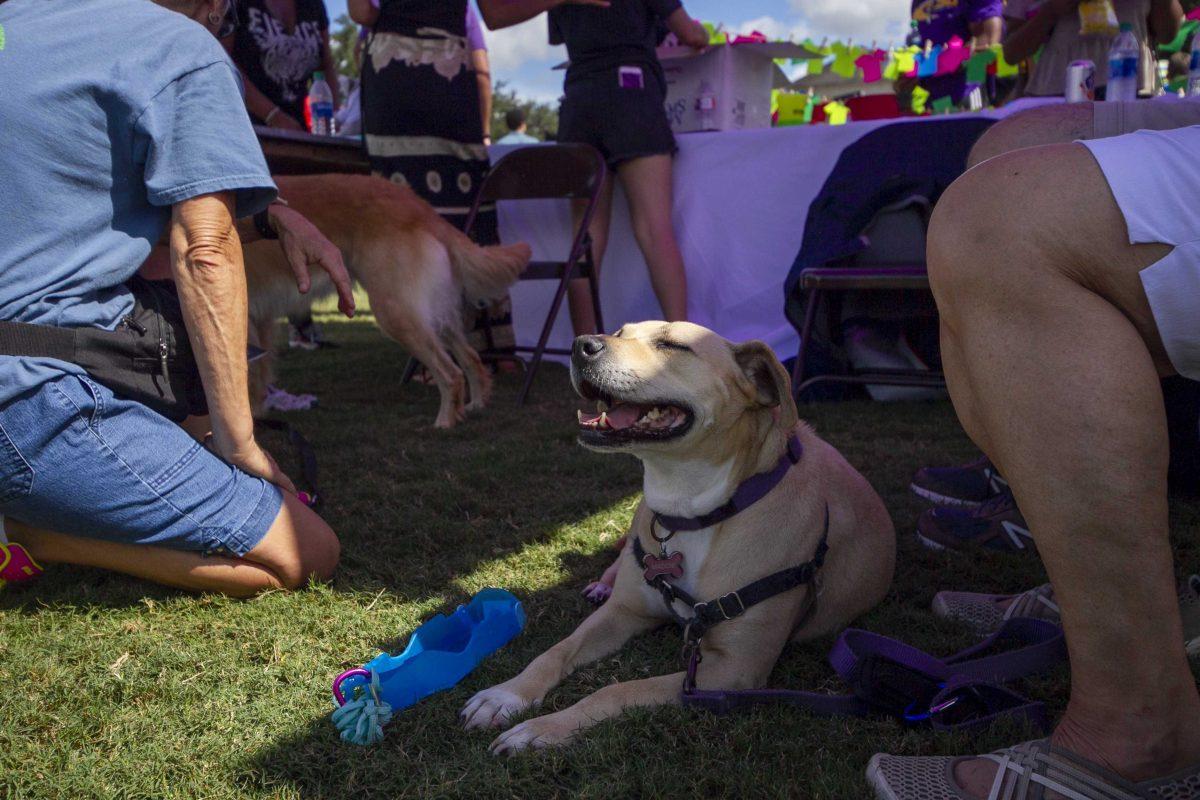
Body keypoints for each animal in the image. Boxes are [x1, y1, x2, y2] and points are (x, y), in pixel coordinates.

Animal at [238, 172, 530, 429]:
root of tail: (416, 204)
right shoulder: (259, 321)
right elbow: (257, 376)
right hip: (431, 313)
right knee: (471, 357)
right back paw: (475, 404)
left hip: (396, 311)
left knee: (451, 374)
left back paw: (445, 422)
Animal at [463, 321, 897, 753]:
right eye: (619, 331)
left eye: (673, 346)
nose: (579, 344)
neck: (691, 511)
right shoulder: (624, 612)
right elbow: (556, 651)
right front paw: (505, 695)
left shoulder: (733, 670)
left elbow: (615, 690)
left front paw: (543, 728)